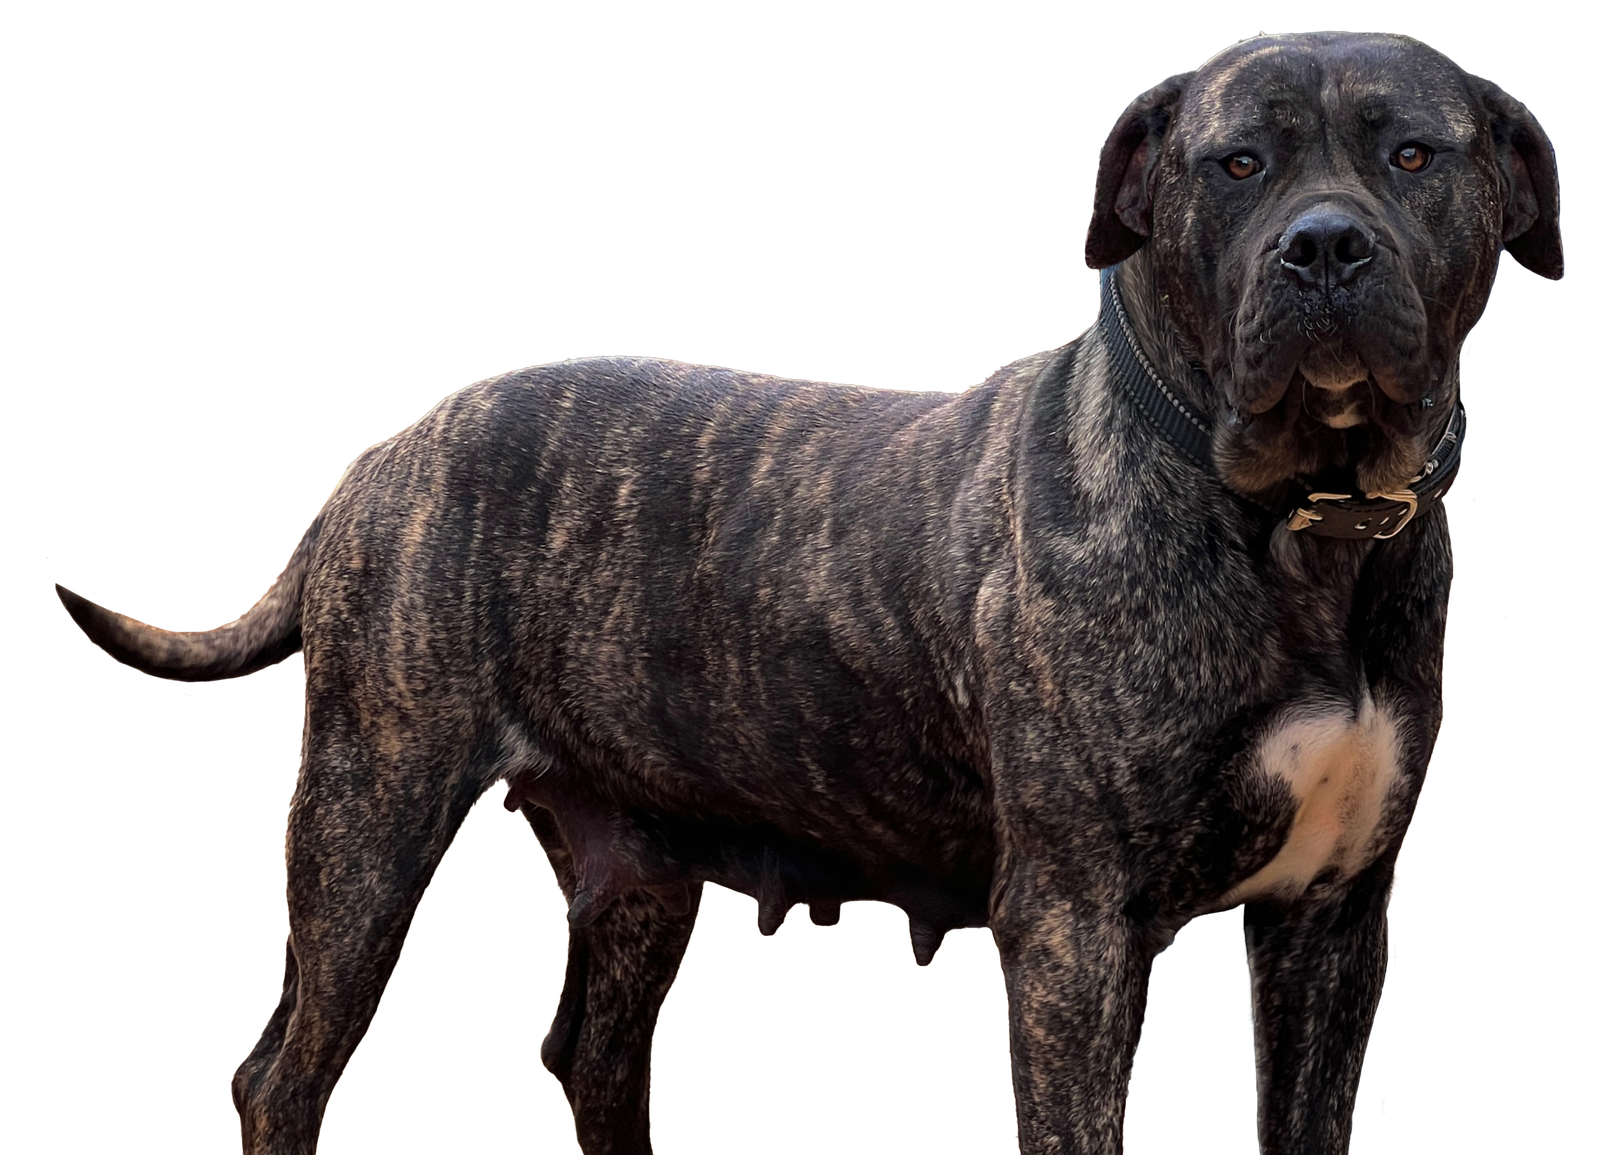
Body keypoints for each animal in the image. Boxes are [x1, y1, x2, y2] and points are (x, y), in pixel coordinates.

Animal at [57, 31, 1561, 1155]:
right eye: (1235, 163)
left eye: (1413, 155)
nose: (1324, 247)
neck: (1300, 525)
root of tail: (389, 448)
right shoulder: (1074, 933)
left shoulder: (1333, 928)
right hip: (369, 820)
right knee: (285, 1069)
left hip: (635, 873)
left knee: (592, 1059)